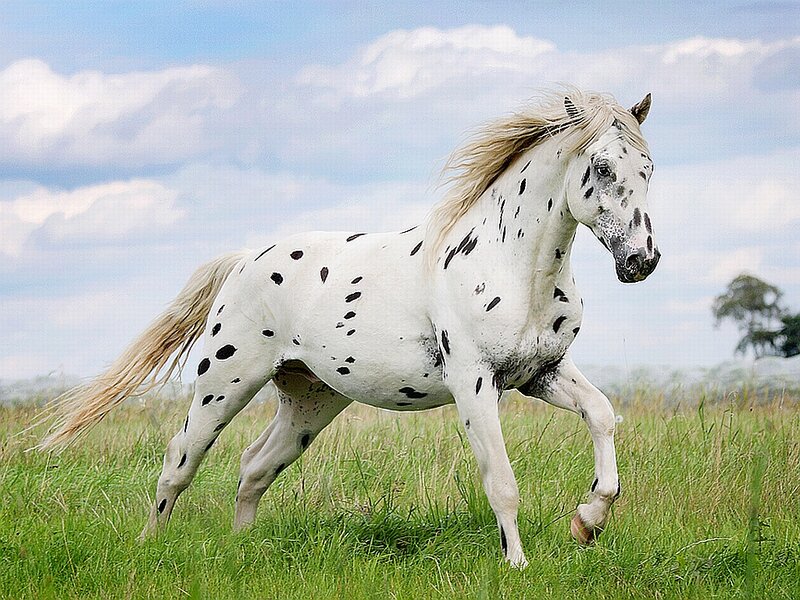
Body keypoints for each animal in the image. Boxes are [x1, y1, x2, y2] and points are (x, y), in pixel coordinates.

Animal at [40, 89, 658, 568]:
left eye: (647, 169)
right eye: (603, 168)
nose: (641, 261)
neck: (507, 263)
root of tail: (242, 262)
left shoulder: (541, 373)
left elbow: (602, 416)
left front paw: (588, 522)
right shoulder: (475, 385)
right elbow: (501, 481)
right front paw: (519, 565)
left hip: (310, 401)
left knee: (254, 468)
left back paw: (243, 549)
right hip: (224, 386)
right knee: (178, 463)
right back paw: (150, 547)